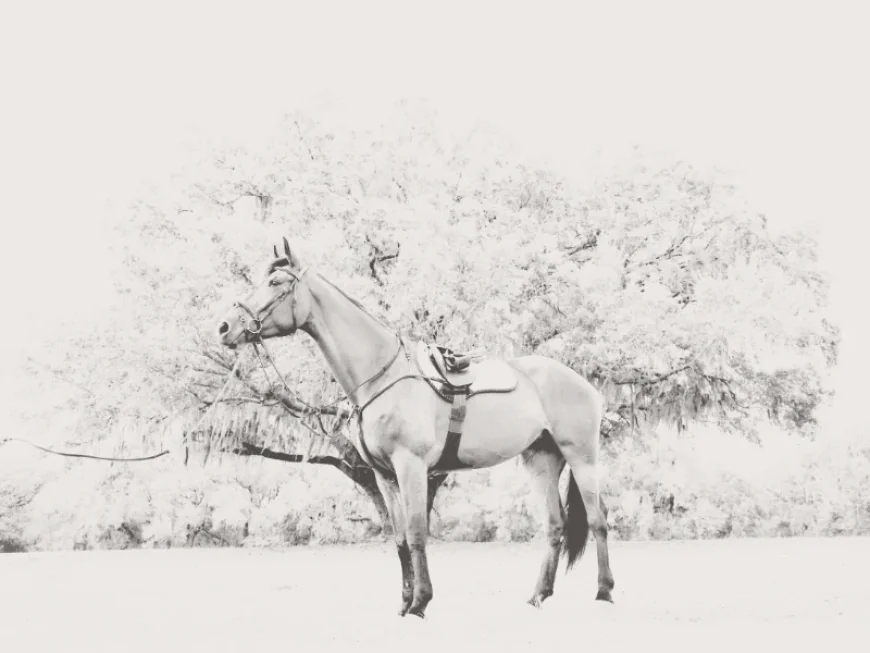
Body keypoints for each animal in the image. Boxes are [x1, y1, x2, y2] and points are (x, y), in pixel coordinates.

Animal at [217, 237, 615, 618]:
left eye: (275, 282)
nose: (224, 327)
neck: (382, 375)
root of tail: (583, 383)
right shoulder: (384, 476)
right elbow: (400, 539)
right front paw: (406, 601)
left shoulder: (412, 466)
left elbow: (417, 533)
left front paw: (421, 602)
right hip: (542, 461)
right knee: (555, 525)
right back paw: (537, 596)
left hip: (582, 458)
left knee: (598, 519)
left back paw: (604, 591)